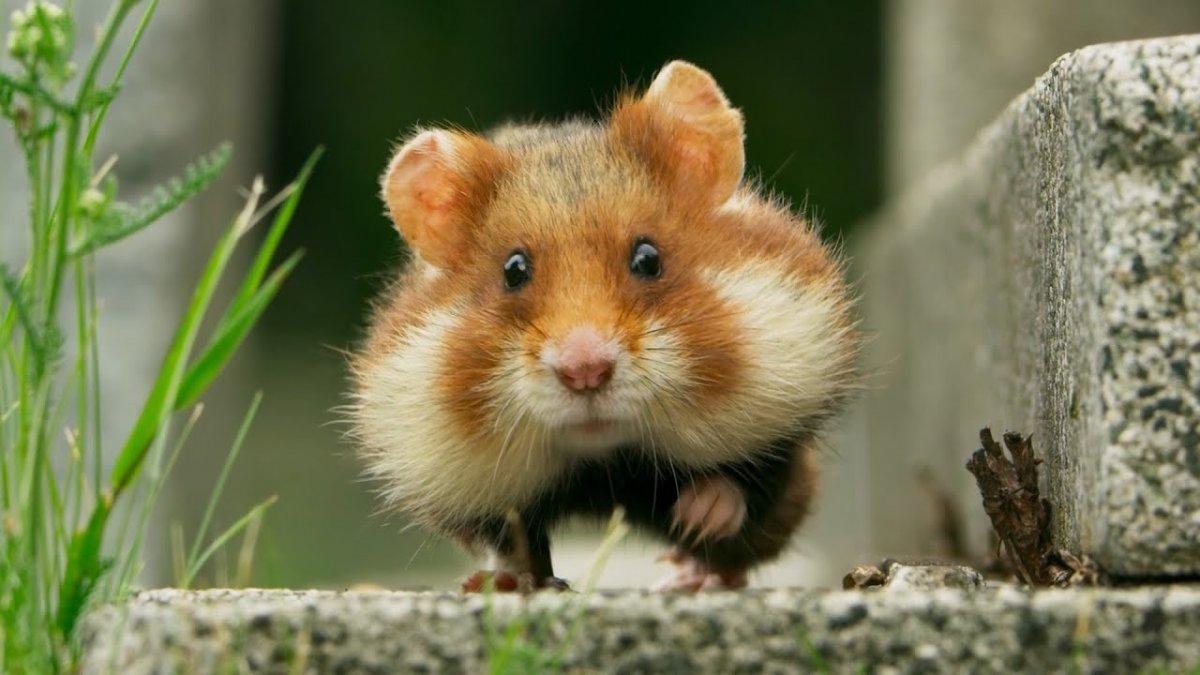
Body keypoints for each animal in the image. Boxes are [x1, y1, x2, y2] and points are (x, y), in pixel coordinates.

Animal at [351, 60, 859, 591]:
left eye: (648, 258)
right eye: (513, 270)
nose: (585, 371)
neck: (606, 461)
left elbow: (745, 487)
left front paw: (699, 515)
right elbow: (514, 538)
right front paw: (509, 582)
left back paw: (688, 576)